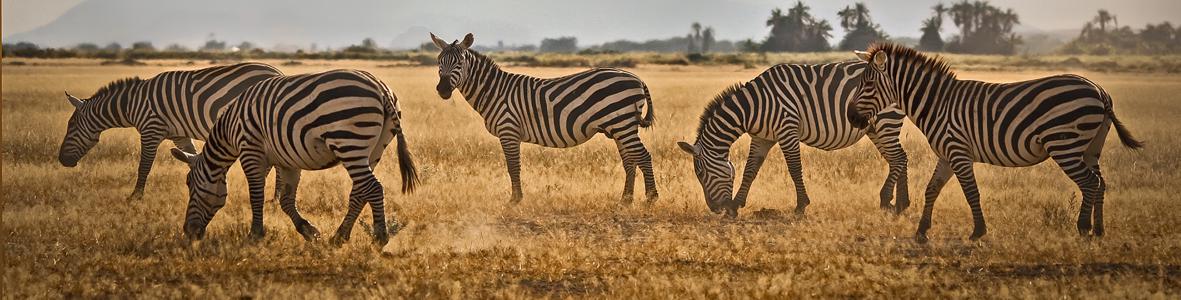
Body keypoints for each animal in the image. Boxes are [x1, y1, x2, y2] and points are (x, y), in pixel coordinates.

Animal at [58, 62, 282, 200]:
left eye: (71, 126)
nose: (62, 160)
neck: (131, 104)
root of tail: (277, 73)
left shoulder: (151, 129)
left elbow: (144, 165)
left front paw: (135, 196)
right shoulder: (179, 135)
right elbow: (190, 156)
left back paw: (274, 196)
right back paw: (274, 196)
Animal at [166, 70, 420, 245]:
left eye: (189, 184)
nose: (188, 233)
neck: (230, 130)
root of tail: (381, 89)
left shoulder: (251, 150)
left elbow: (256, 194)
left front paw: (255, 234)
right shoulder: (288, 162)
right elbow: (286, 200)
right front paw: (309, 231)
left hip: (349, 141)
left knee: (373, 188)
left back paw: (380, 237)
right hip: (374, 148)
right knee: (360, 192)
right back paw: (339, 237)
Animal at [432, 33, 661, 205]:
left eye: (460, 62)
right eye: (439, 62)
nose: (442, 90)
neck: (494, 91)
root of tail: (636, 78)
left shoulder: (508, 130)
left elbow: (513, 166)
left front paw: (515, 200)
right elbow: (513, 166)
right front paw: (517, 198)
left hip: (622, 124)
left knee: (643, 156)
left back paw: (651, 198)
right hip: (620, 127)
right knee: (630, 160)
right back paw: (626, 199)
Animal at [675, 60, 911, 217]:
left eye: (701, 173)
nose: (715, 209)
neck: (753, 107)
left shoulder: (787, 129)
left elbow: (794, 168)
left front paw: (801, 206)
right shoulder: (762, 138)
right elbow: (750, 170)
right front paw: (735, 206)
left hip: (885, 121)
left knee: (898, 158)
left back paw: (887, 201)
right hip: (875, 128)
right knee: (899, 159)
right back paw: (900, 204)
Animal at [850, 43, 1143, 242]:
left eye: (868, 84)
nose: (852, 117)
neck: (938, 104)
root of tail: (1099, 90)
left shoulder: (958, 151)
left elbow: (971, 192)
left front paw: (978, 232)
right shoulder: (946, 154)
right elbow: (931, 189)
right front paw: (922, 231)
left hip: (1065, 145)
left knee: (1089, 182)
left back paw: (1083, 228)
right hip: (1091, 148)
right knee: (1100, 182)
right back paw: (1099, 230)